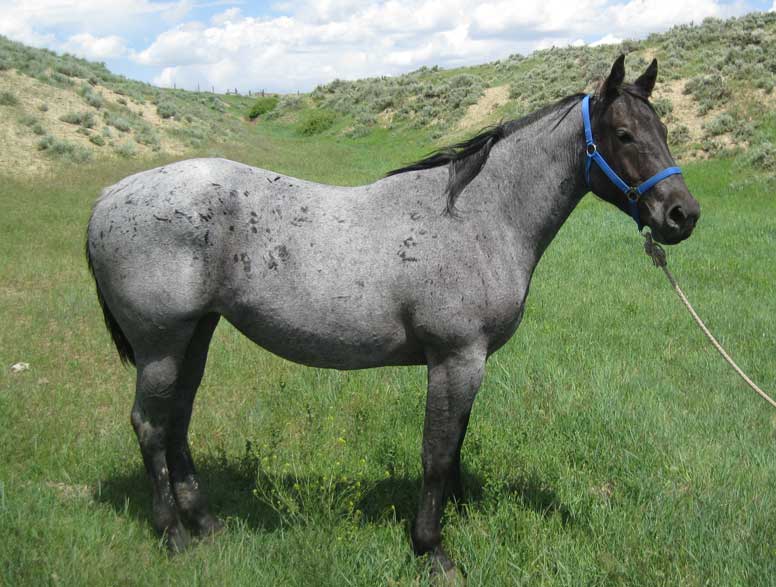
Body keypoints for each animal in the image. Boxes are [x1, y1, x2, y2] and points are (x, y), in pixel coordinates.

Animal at [86, 56, 704, 576]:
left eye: (664, 132)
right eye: (623, 135)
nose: (682, 214)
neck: (477, 216)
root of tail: (109, 196)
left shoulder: (465, 363)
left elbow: (455, 443)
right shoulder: (456, 359)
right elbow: (437, 452)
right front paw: (432, 549)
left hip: (196, 335)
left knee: (177, 422)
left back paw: (208, 525)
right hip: (161, 345)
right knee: (150, 426)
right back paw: (173, 535)